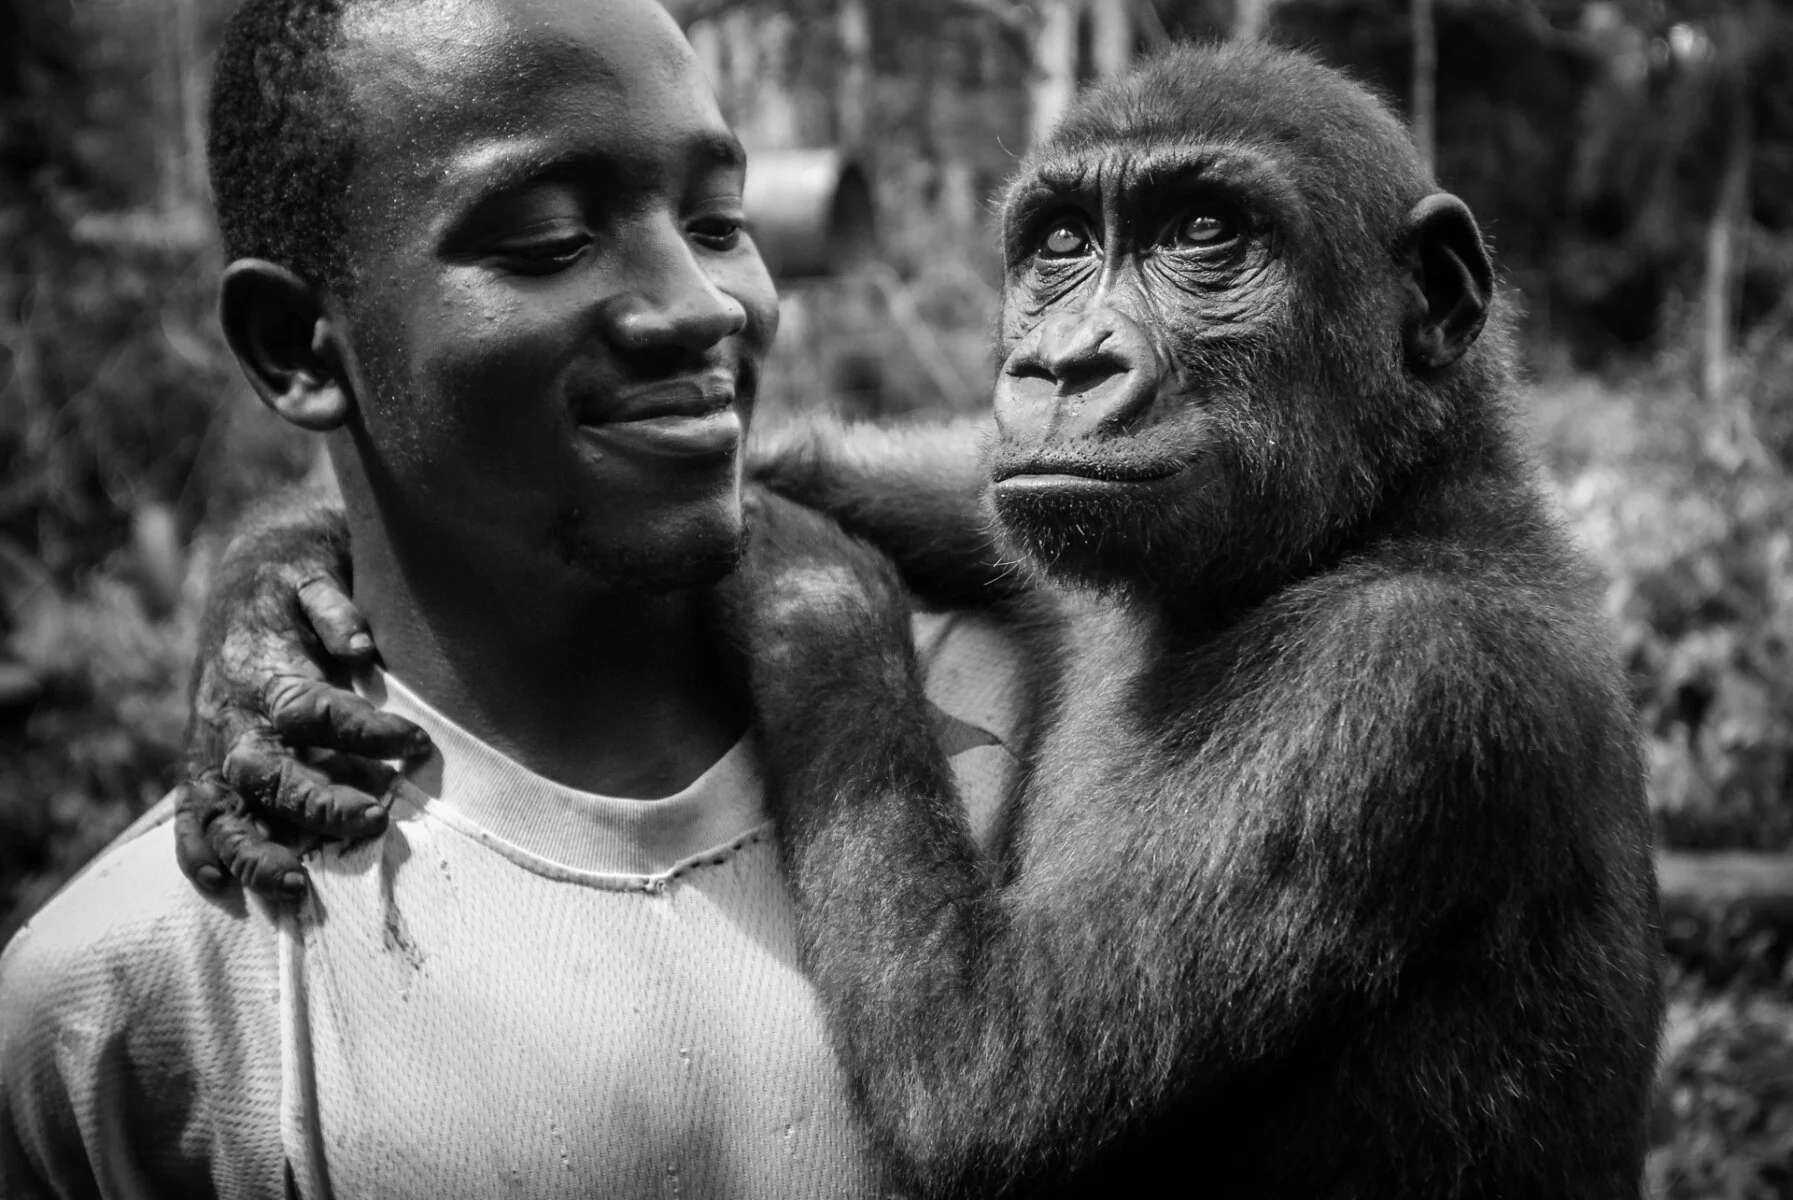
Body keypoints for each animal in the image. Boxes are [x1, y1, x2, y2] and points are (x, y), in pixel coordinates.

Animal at [171, 39, 1661, 1200]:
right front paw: (263, 625)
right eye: (1062, 245)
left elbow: (993, 1078)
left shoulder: (1392, 690)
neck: (1366, 515)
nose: (1064, 362)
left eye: (1203, 236)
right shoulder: (1053, 537)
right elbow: (952, 496)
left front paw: (800, 589)